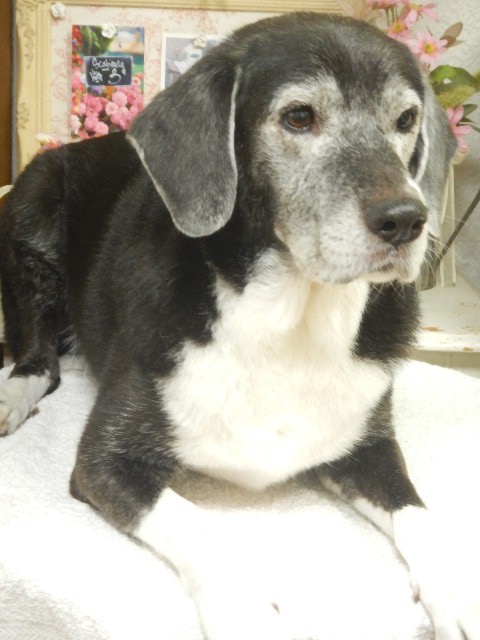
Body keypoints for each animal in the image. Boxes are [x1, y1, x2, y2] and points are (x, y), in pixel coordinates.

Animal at [0, 11, 473, 640]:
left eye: (406, 120)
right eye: (298, 116)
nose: (407, 220)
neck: (292, 318)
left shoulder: (369, 445)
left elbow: (418, 511)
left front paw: (456, 594)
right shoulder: (105, 461)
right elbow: (192, 520)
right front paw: (243, 605)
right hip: (31, 211)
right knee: (38, 356)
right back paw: (12, 395)